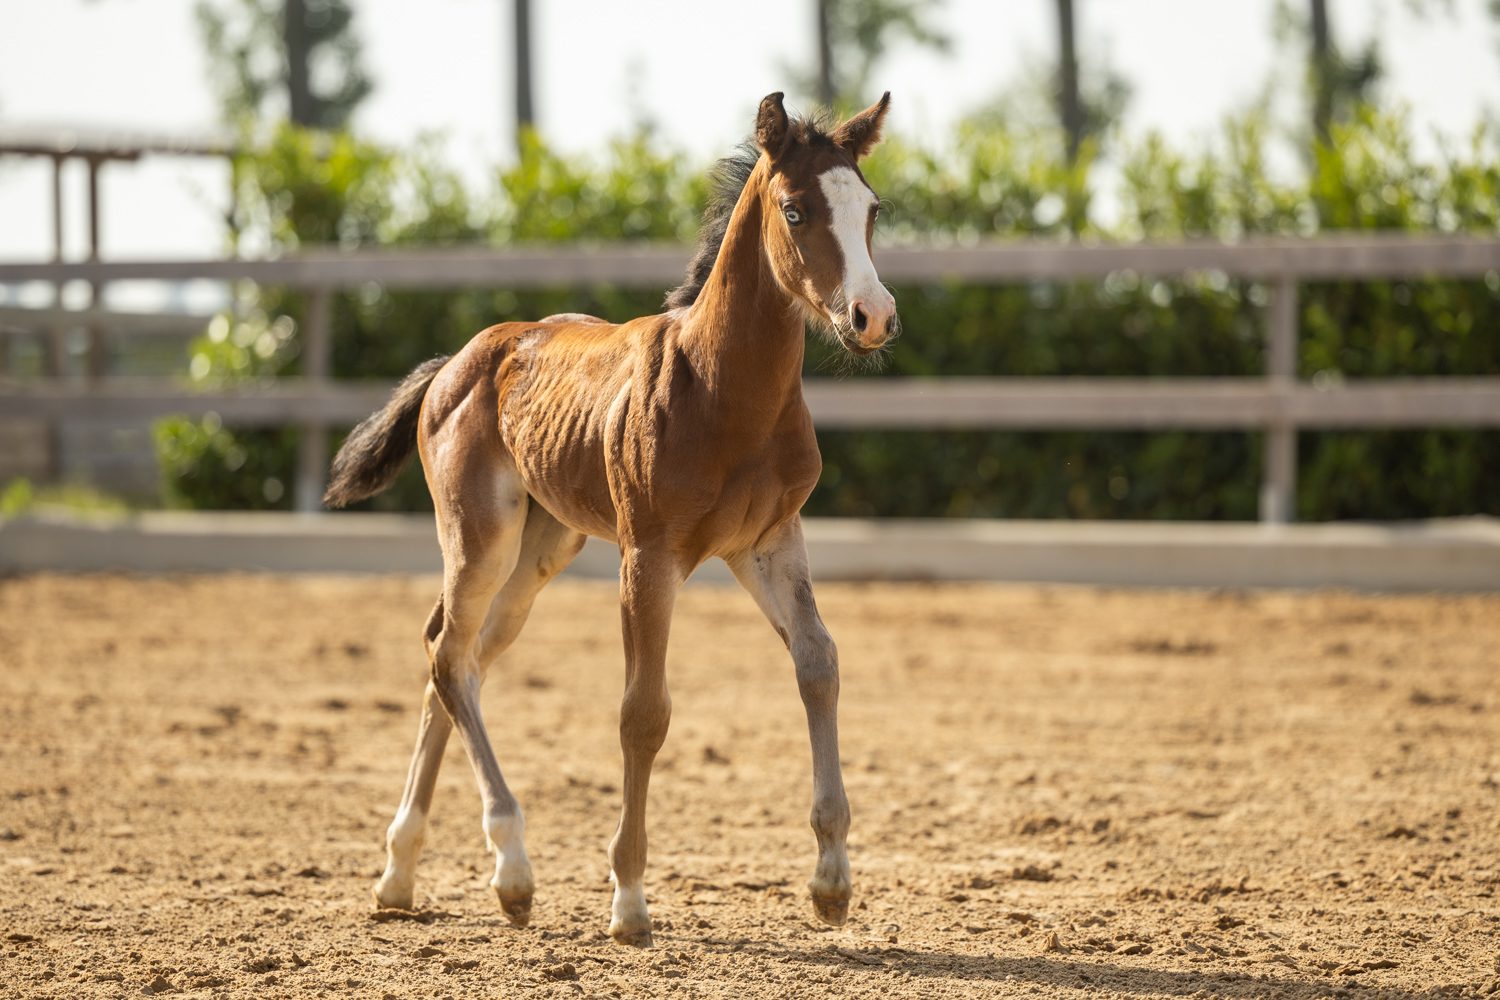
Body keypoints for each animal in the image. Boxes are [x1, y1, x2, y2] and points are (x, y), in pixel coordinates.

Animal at [323, 91, 898, 947]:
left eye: (872, 208)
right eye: (795, 210)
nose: (872, 316)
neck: (725, 391)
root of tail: (453, 364)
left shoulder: (768, 543)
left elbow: (819, 665)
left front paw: (831, 881)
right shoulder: (648, 555)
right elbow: (643, 713)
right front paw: (628, 900)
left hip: (539, 550)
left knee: (455, 659)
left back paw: (401, 874)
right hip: (480, 536)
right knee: (449, 655)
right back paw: (510, 867)